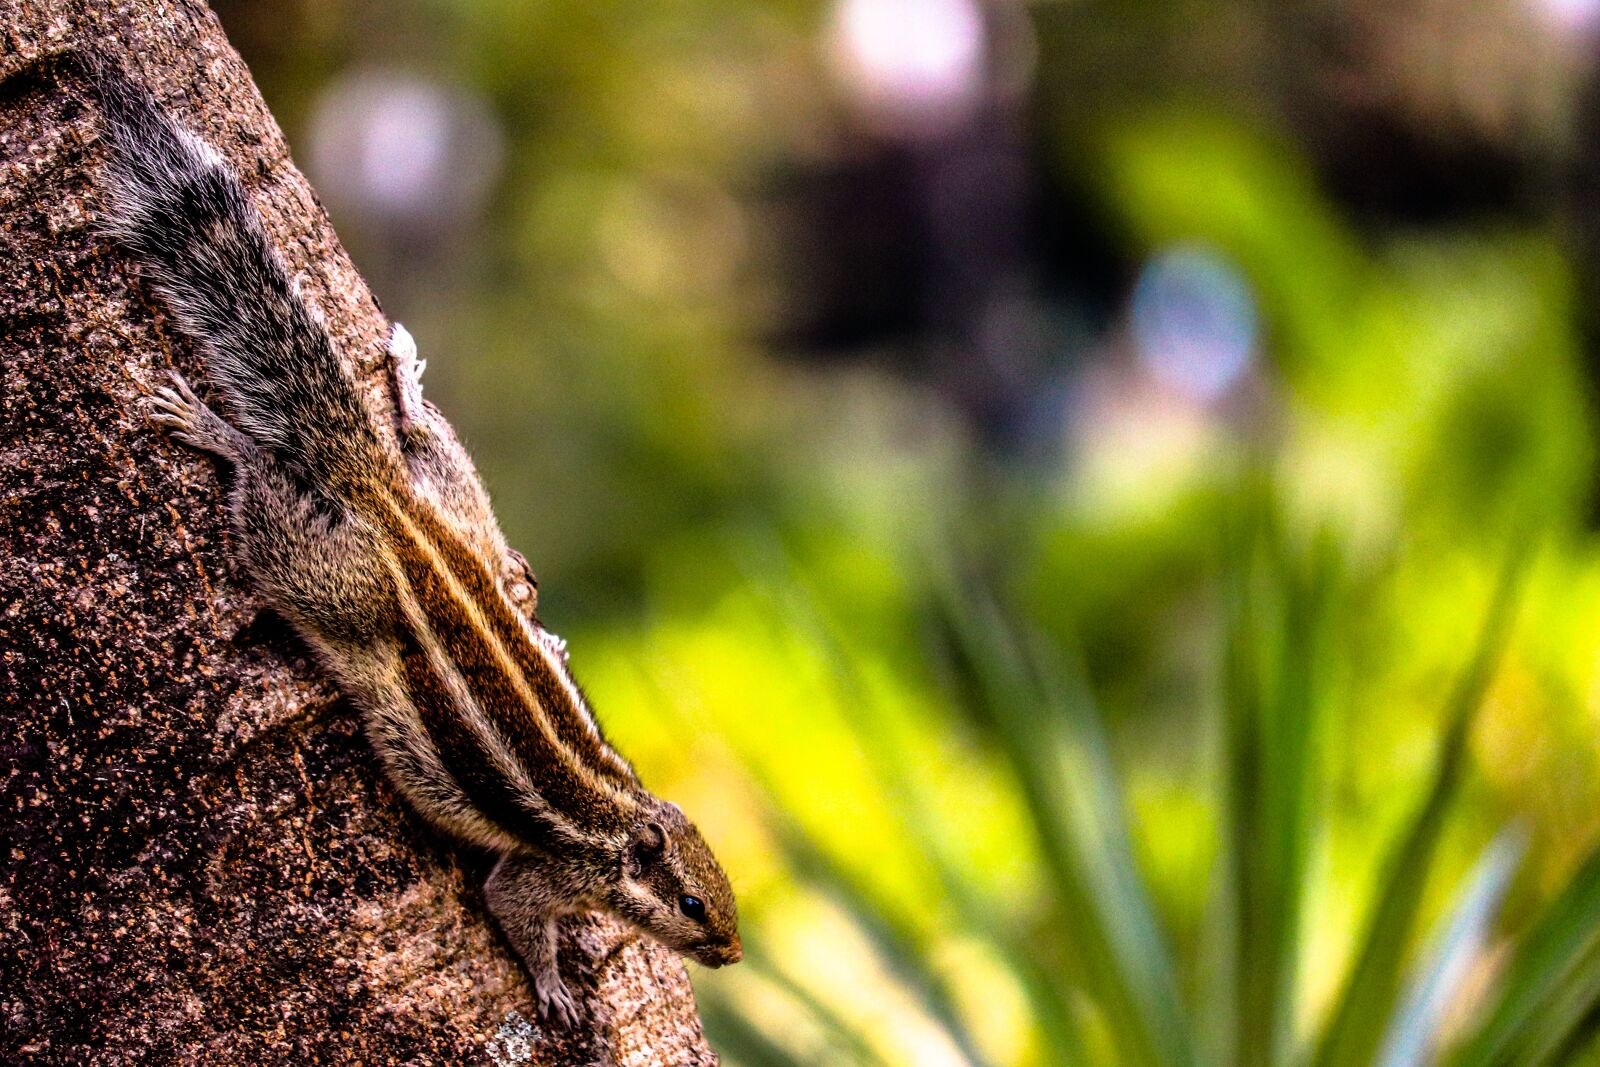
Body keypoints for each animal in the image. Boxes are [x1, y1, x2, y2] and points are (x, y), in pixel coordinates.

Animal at [86, 56, 741, 1028]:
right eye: (694, 902)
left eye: (723, 888)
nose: (732, 952)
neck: (617, 818)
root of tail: (389, 504)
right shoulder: (546, 873)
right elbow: (514, 909)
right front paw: (555, 985)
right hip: (327, 579)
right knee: (266, 490)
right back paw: (220, 431)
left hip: (451, 495)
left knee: (426, 443)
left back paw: (402, 380)